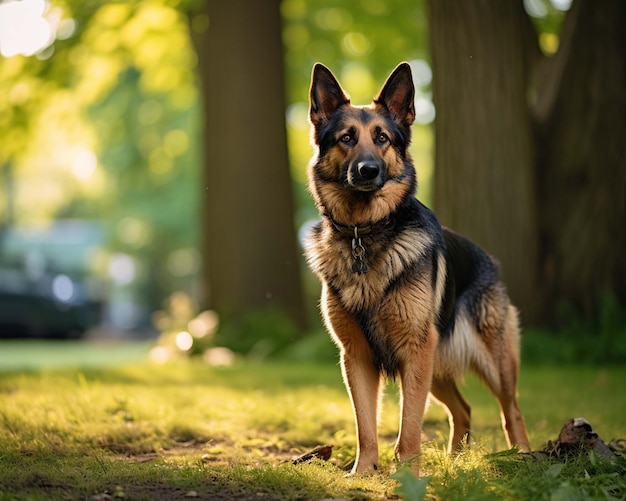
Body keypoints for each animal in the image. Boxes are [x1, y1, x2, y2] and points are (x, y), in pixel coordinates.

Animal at [302, 62, 528, 472]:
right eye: (346, 138)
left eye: (382, 138)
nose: (368, 170)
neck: (365, 234)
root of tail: (489, 259)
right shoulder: (356, 358)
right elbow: (365, 426)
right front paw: (363, 473)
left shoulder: (414, 351)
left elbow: (410, 425)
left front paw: (407, 474)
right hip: (435, 370)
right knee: (464, 410)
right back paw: (456, 464)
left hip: (491, 364)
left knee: (511, 411)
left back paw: (525, 456)